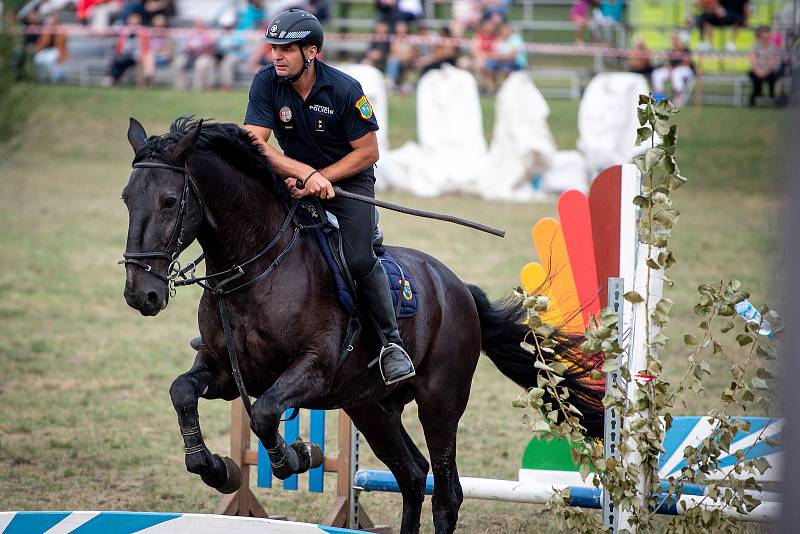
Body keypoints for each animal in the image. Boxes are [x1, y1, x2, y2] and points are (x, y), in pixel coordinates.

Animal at [122, 118, 604, 534]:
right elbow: (182, 392)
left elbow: (264, 414)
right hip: (371, 407)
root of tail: (460, 289)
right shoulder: (224, 370)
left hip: (440, 403)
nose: (140, 293)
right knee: (412, 474)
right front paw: (217, 469)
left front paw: (297, 455)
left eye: (169, 202)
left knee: (447, 492)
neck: (258, 265)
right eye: (127, 198)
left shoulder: (312, 370)